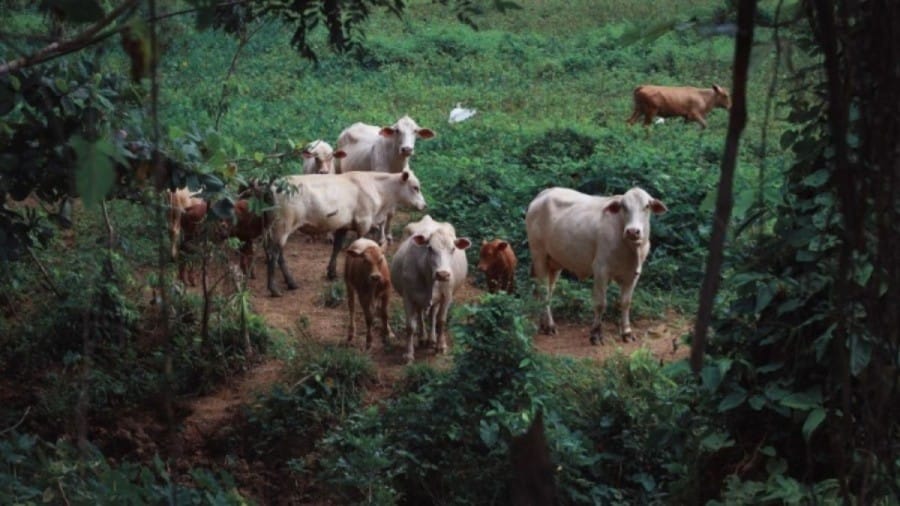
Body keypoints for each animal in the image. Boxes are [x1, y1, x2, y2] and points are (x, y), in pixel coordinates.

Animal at [266, 170, 428, 296]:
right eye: (415, 187)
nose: (424, 205)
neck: (377, 188)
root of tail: (274, 184)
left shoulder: (343, 225)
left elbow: (337, 247)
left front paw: (331, 273)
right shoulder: (364, 222)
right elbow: (361, 246)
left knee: (276, 254)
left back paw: (291, 283)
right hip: (282, 226)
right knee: (274, 255)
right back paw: (274, 289)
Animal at [338, 114, 436, 243]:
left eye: (415, 131)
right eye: (397, 130)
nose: (407, 149)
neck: (394, 164)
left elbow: (391, 213)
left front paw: (388, 235)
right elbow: (383, 217)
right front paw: (381, 238)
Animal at [390, 215, 472, 362]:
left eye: (453, 249)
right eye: (430, 248)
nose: (443, 274)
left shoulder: (447, 296)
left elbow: (441, 321)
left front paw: (441, 346)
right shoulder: (408, 297)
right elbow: (410, 326)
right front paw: (409, 354)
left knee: (433, 314)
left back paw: (432, 339)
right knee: (420, 315)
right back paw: (423, 338)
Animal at [524, 186, 664, 344]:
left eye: (646, 206)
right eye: (623, 206)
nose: (632, 231)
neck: (630, 248)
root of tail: (543, 194)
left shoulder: (633, 274)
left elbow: (625, 302)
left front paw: (627, 332)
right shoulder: (601, 270)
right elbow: (601, 303)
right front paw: (596, 334)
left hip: (554, 262)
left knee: (548, 290)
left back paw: (544, 324)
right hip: (539, 255)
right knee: (543, 291)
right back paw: (549, 326)